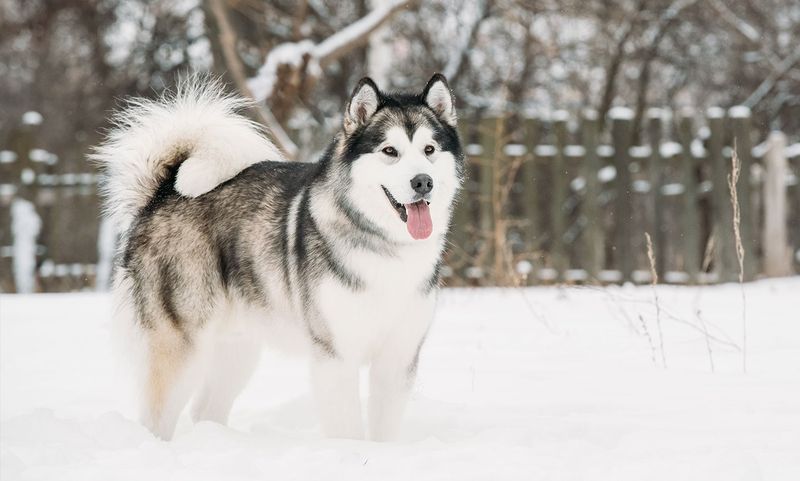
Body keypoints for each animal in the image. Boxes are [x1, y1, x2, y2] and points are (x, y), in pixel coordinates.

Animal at [94, 74, 466, 438]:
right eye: (390, 151)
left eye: (429, 150)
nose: (423, 182)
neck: (386, 246)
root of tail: (163, 194)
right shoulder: (335, 355)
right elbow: (347, 429)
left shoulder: (399, 357)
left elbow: (384, 431)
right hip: (182, 346)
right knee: (156, 420)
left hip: (238, 348)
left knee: (205, 410)